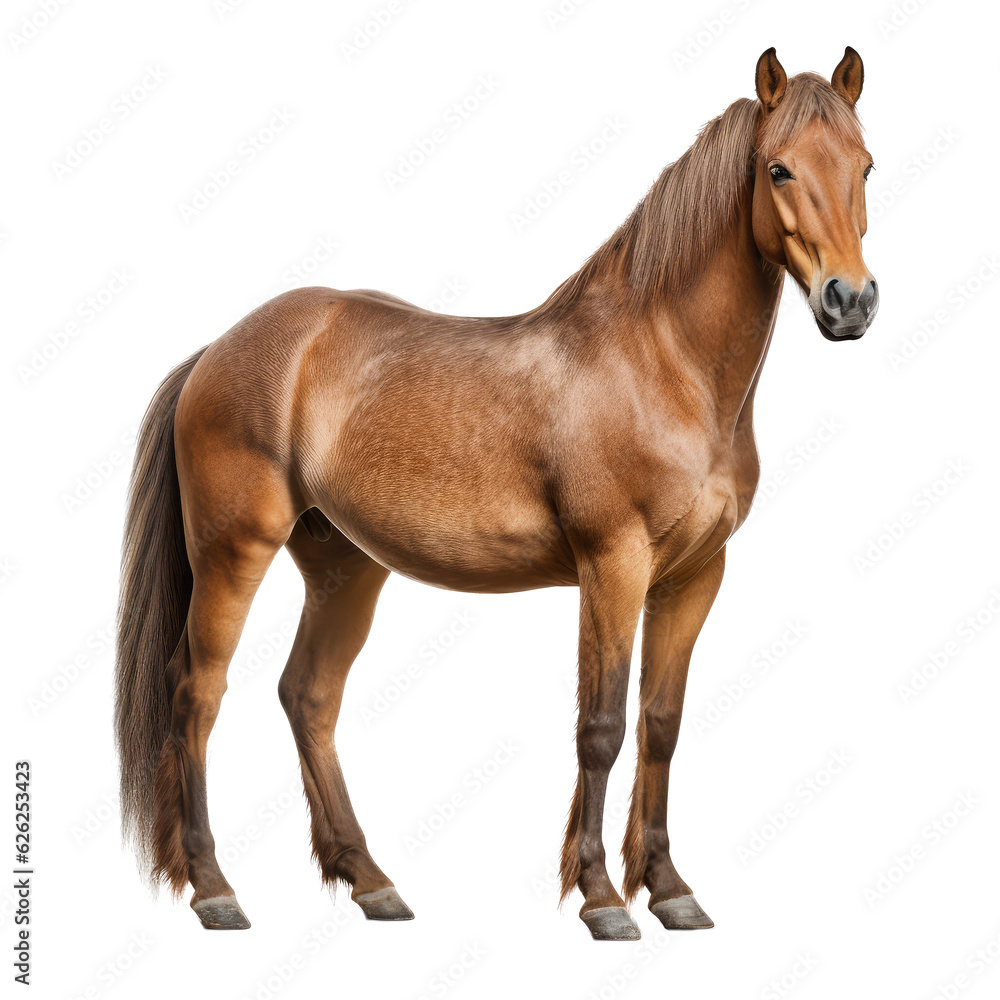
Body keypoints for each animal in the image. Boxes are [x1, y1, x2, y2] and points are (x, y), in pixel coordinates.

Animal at [115, 46, 877, 940]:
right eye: (778, 168)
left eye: (865, 165)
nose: (850, 301)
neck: (662, 363)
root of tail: (216, 349)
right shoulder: (613, 566)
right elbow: (601, 727)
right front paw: (602, 899)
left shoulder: (695, 576)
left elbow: (661, 725)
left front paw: (670, 890)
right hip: (234, 550)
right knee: (197, 693)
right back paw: (215, 888)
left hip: (344, 565)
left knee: (308, 695)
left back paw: (371, 882)